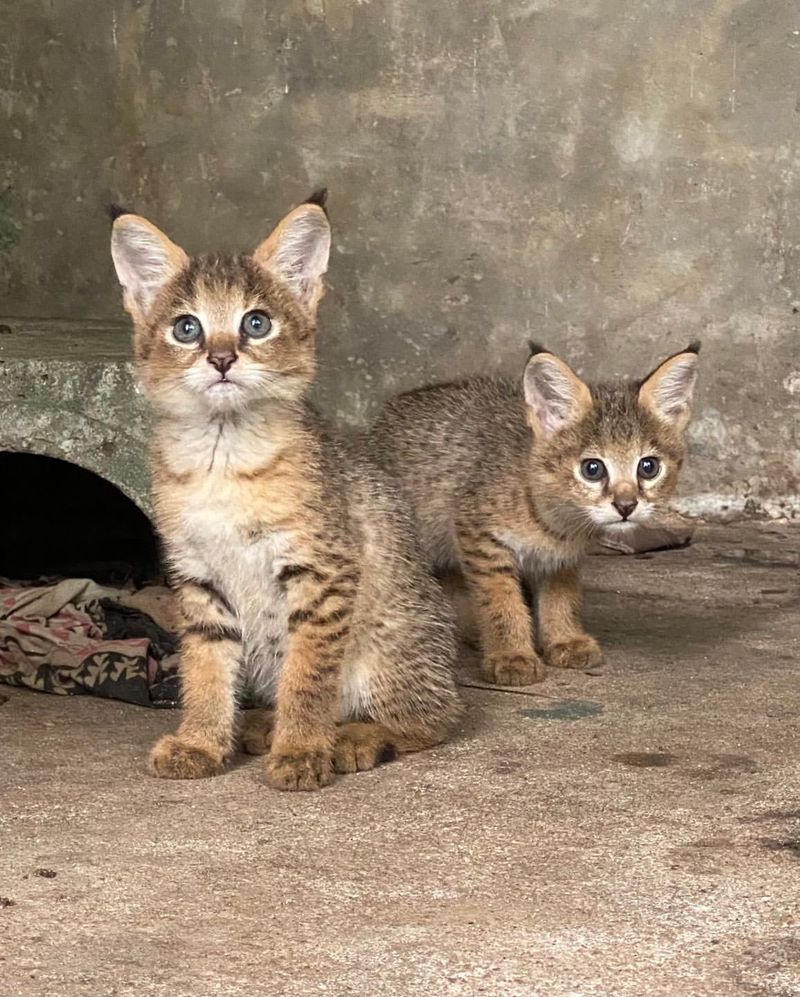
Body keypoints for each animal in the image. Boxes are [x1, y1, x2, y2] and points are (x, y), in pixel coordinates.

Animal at [108, 193, 460, 784]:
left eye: (256, 323)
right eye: (187, 329)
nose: (222, 359)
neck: (222, 453)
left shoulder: (323, 572)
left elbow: (309, 673)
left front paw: (300, 749)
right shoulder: (198, 575)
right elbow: (204, 666)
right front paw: (202, 741)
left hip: (392, 636)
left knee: (438, 717)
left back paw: (354, 737)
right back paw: (261, 725)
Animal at [372, 342, 696, 684]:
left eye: (648, 467)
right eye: (592, 469)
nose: (626, 506)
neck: (558, 518)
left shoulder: (561, 554)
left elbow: (561, 595)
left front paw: (564, 639)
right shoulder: (478, 536)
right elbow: (499, 598)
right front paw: (510, 654)